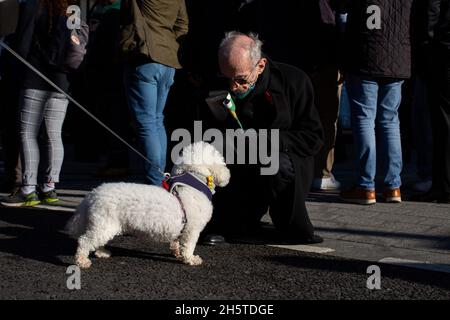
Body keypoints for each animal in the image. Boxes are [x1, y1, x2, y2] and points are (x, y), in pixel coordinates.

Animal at [67, 141, 230, 268]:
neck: (194, 183)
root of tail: (93, 194)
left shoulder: (182, 228)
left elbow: (176, 243)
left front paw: (177, 253)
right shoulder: (192, 229)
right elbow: (188, 246)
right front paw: (190, 259)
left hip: (104, 225)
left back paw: (102, 252)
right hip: (104, 223)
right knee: (84, 241)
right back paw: (81, 260)